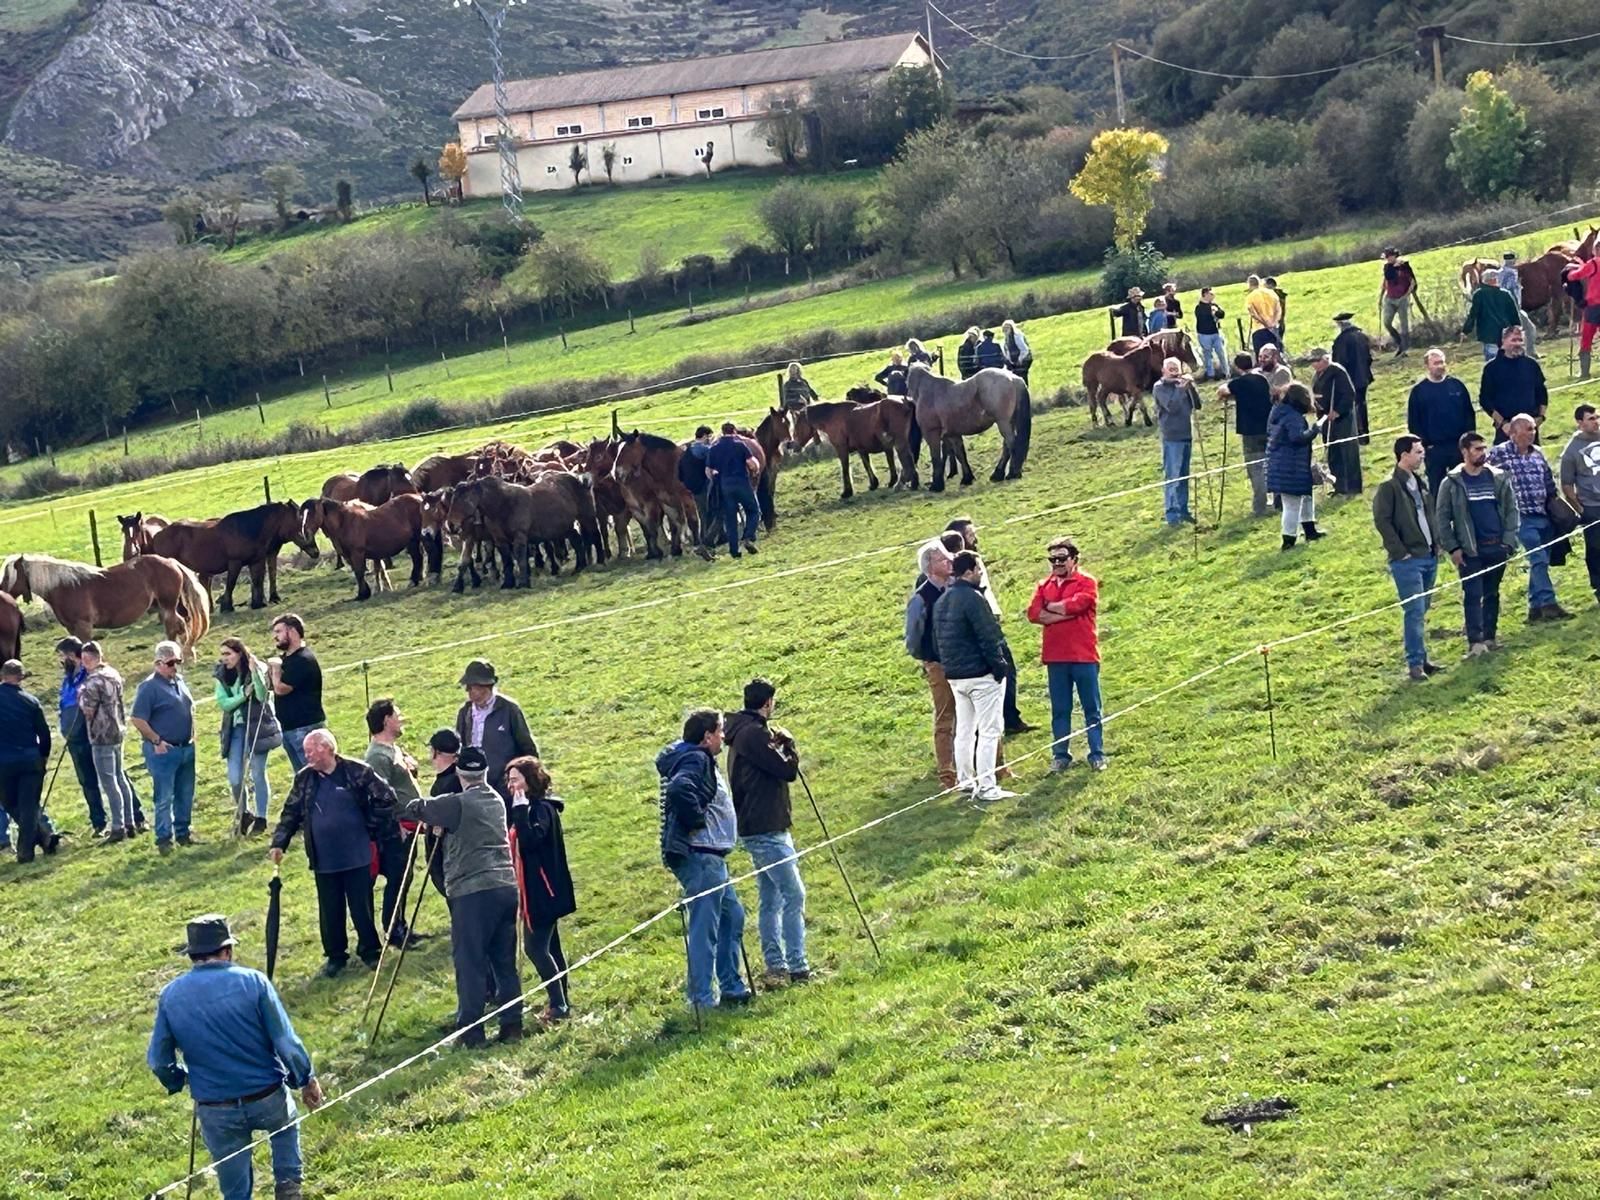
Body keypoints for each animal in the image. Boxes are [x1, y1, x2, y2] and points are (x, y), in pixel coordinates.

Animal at [1, 553, 211, 659]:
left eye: (7, 575)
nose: (1, 592)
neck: (65, 586)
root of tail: (170, 561)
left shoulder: (83, 626)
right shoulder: (72, 628)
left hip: (167, 605)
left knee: (174, 627)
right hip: (164, 606)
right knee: (181, 624)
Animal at [149, 502, 321, 611]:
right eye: (299, 523)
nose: (316, 552)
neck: (248, 530)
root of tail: (157, 535)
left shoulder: (255, 562)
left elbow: (257, 581)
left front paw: (258, 603)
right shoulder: (235, 563)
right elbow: (231, 584)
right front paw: (227, 606)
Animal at [300, 492, 435, 601]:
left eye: (313, 512)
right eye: (302, 515)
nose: (305, 533)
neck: (344, 523)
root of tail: (419, 498)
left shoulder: (357, 554)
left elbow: (360, 573)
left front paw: (363, 595)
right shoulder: (350, 556)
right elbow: (358, 573)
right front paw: (365, 593)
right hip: (412, 541)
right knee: (417, 558)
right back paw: (414, 581)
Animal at [787, 395, 915, 499]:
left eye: (796, 427)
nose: (792, 446)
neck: (832, 416)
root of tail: (905, 402)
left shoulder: (842, 450)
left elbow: (845, 469)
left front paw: (847, 492)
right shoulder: (861, 449)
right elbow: (867, 465)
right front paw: (873, 484)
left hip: (900, 443)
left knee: (906, 460)